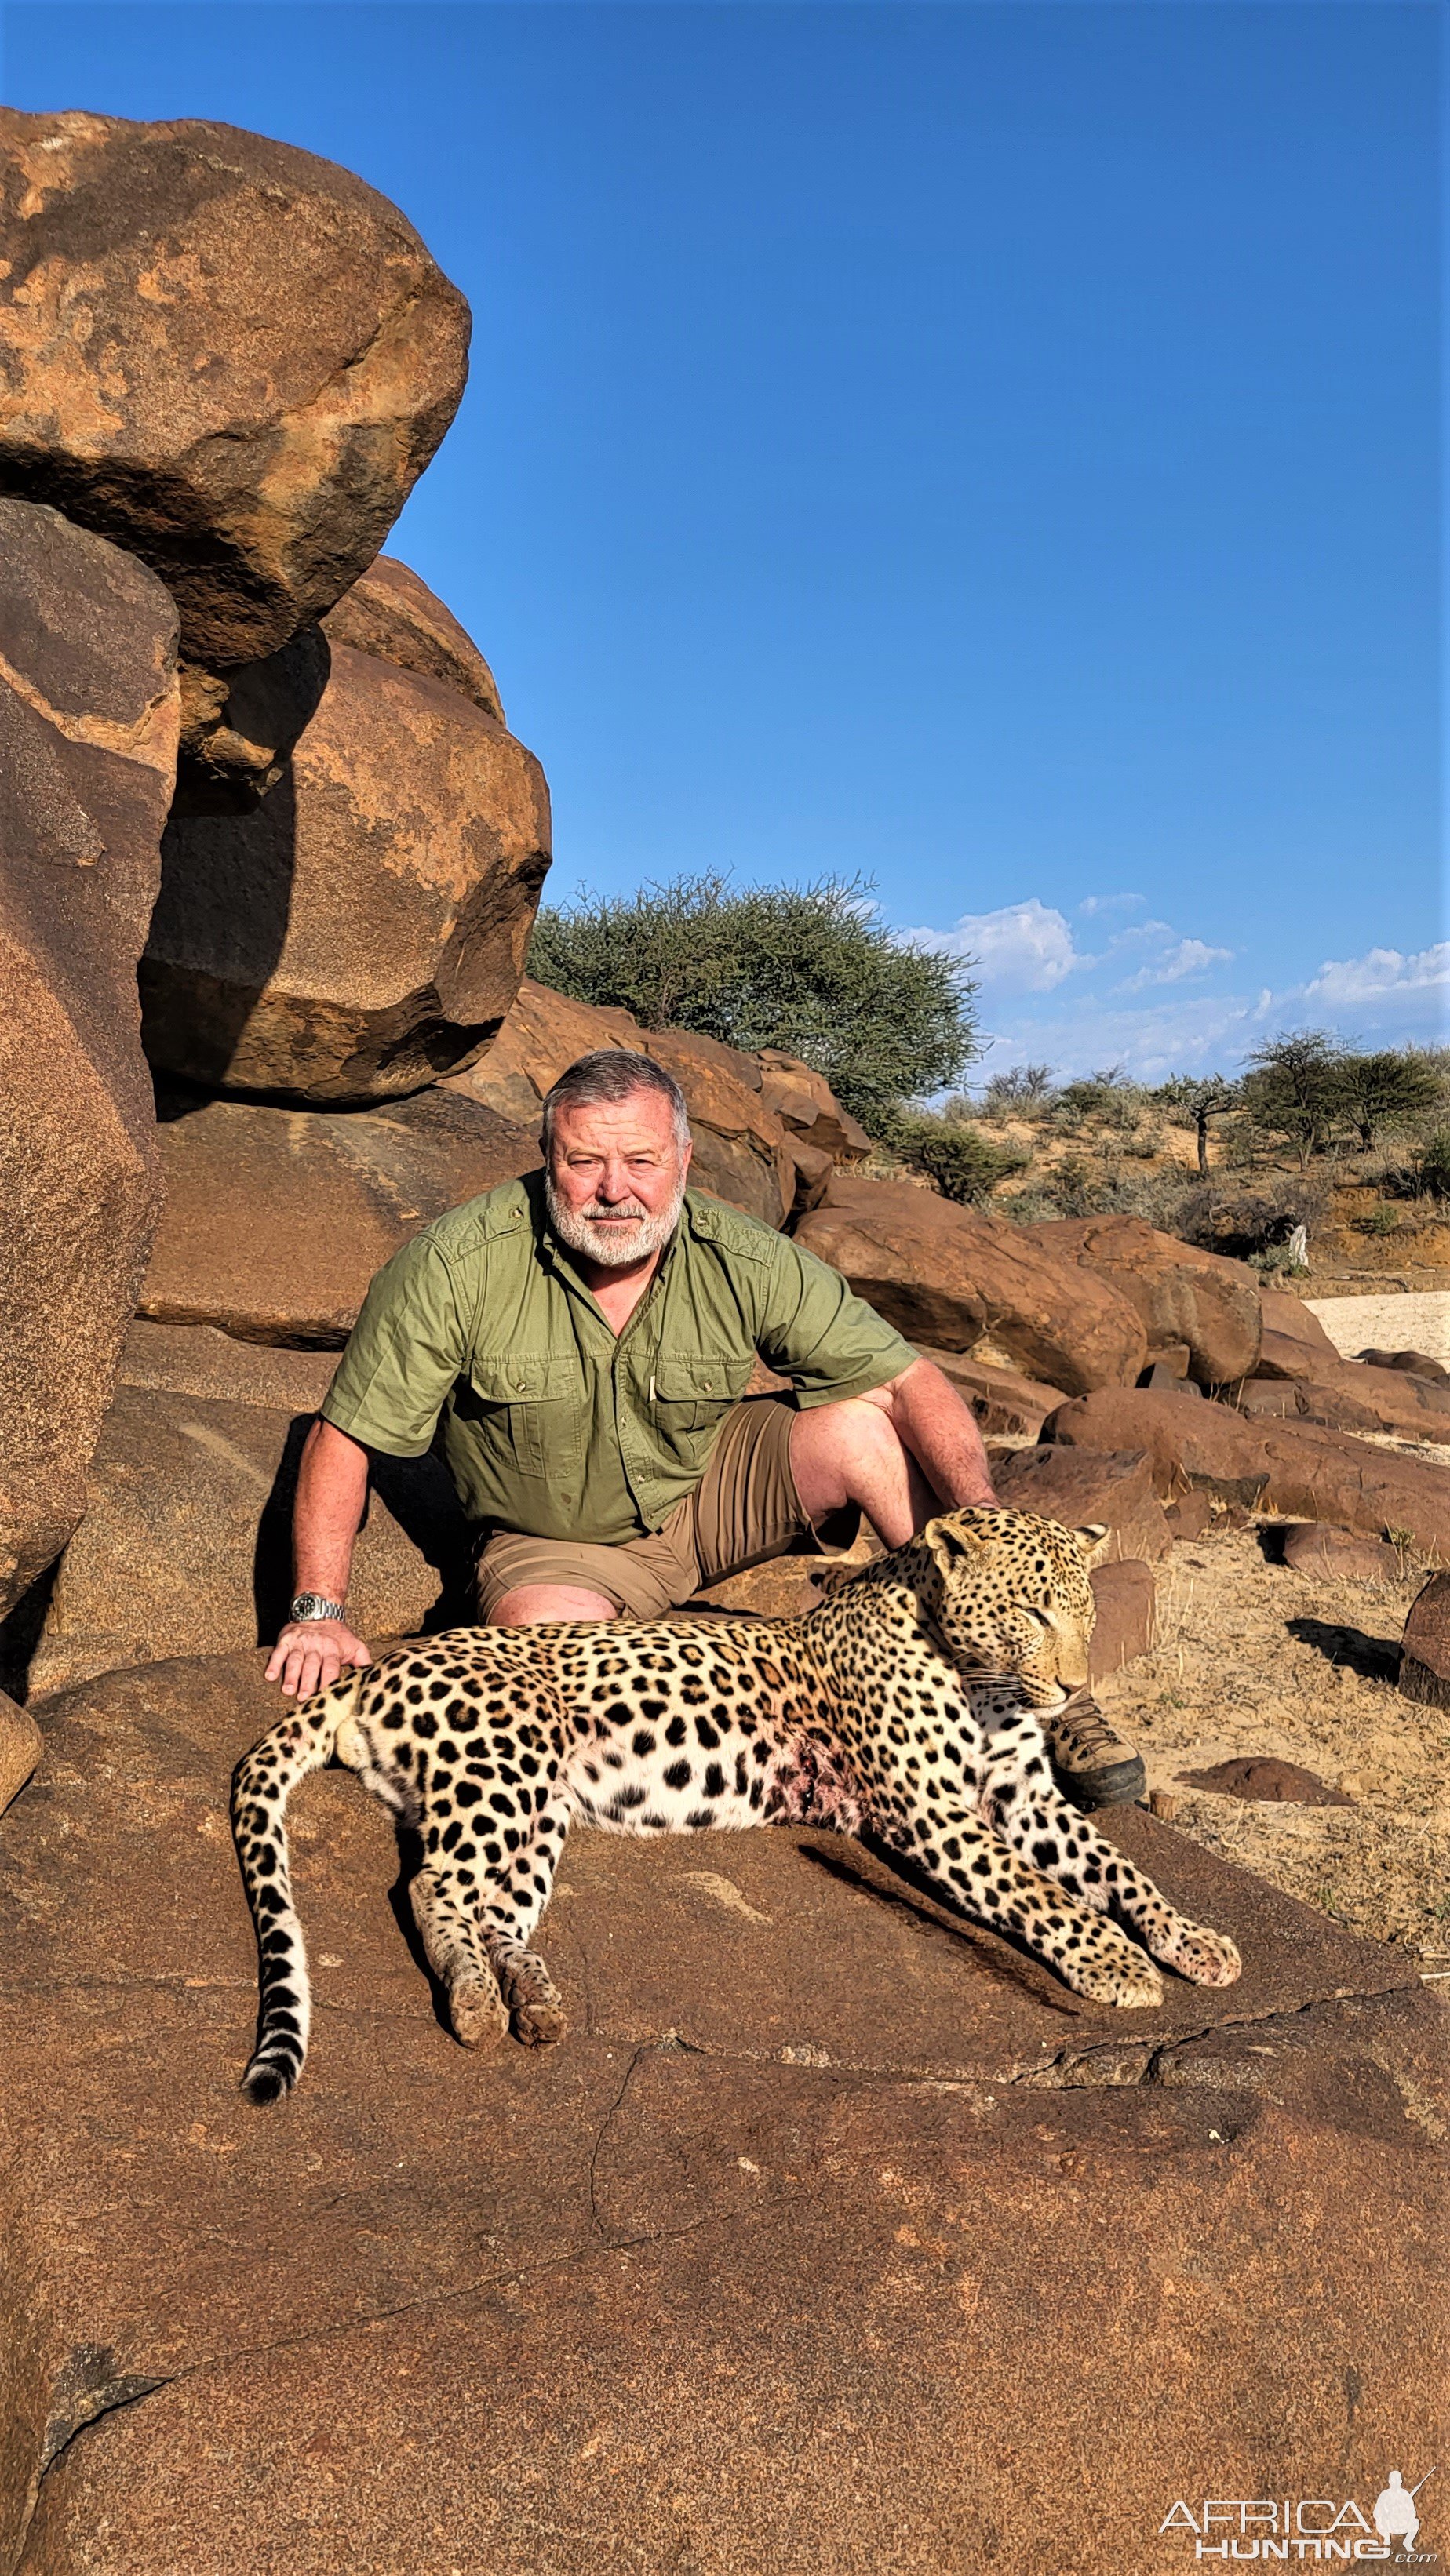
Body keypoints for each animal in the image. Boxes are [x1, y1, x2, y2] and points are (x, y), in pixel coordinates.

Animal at [233, 1504, 1241, 2091]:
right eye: (1031, 1611)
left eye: (1087, 1612)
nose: (1073, 1687)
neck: (979, 1678)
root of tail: (375, 1665)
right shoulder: (932, 1808)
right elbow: (1040, 1892)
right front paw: (1116, 1963)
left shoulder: (1027, 1796)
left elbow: (1119, 1865)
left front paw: (1197, 1939)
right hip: (502, 1767)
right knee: (430, 1883)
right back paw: (477, 2000)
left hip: (540, 1807)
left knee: (493, 1906)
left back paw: (536, 1998)